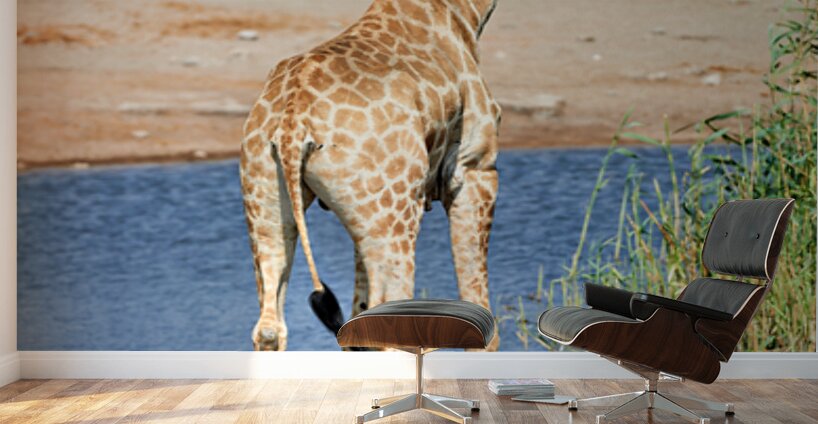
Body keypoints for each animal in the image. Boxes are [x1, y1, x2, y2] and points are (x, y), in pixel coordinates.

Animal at [240, 0, 501, 351]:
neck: (467, 15)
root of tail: (292, 125)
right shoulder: (475, 167)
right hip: (396, 212)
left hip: (268, 200)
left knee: (271, 324)